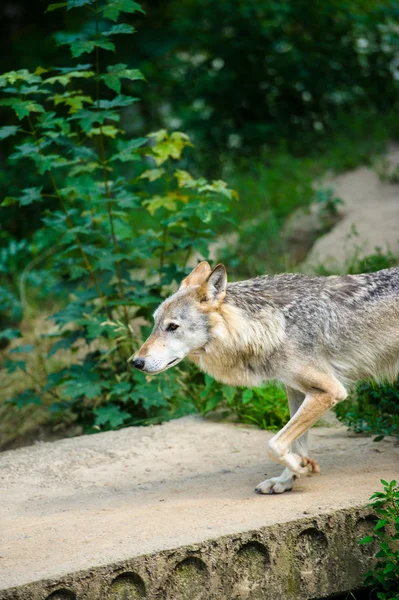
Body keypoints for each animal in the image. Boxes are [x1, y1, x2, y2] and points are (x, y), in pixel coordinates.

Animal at [130, 262, 399, 492]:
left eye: (172, 327)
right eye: (155, 324)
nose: (135, 362)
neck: (272, 325)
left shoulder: (329, 391)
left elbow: (274, 444)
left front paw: (301, 468)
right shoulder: (298, 391)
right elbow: (295, 443)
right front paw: (289, 477)